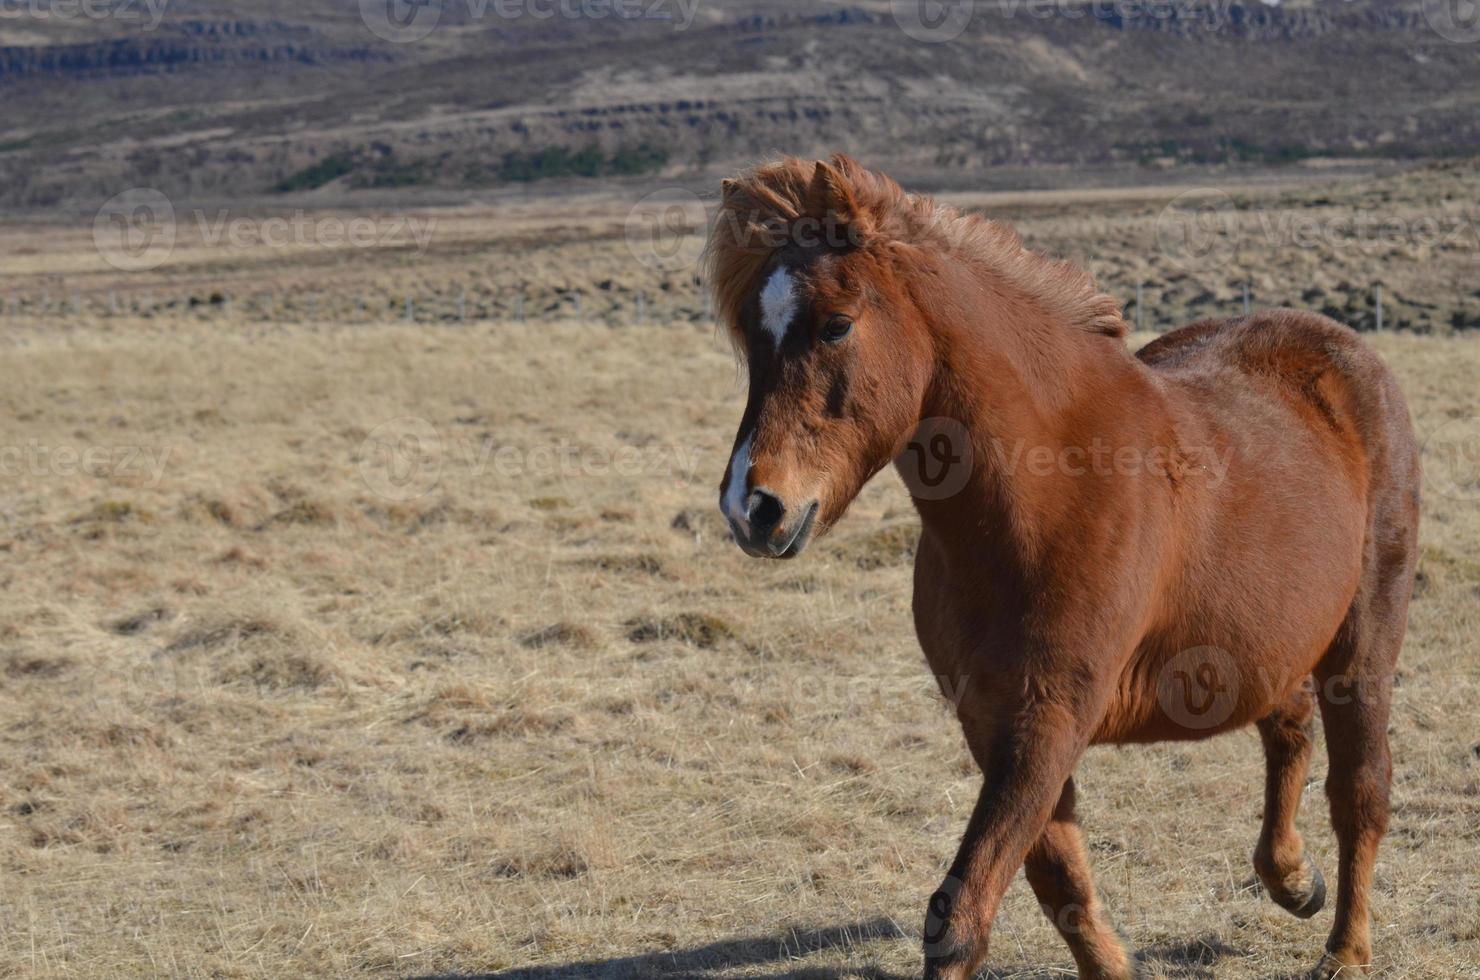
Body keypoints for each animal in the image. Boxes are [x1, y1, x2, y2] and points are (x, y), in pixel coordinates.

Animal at [704, 157, 1420, 977]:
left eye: (836, 324)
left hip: (1362, 648)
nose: (753, 508)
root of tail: (1342, 349)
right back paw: (1293, 879)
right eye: (749, 339)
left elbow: (960, 913)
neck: (1047, 491)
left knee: (1361, 789)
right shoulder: (994, 721)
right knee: (1288, 724)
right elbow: (1058, 879)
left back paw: (1346, 949)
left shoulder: (1049, 717)